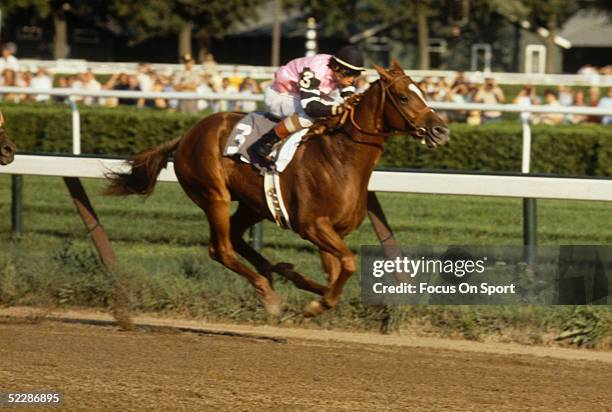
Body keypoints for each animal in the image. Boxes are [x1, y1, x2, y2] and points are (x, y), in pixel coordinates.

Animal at [105, 61, 450, 318]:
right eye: (404, 97)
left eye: (423, 92)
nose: (441, 130)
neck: (340, 158)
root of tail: (187, 134)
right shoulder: (311, 226)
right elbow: (349, 263)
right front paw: (318, 305)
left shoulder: (332, 231)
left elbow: (335, 271)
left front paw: (318, 294)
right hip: (214, 196)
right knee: (221, 249)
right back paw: (268, 293)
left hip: (251, 204)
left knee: (237, 238)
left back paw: (283, 272)